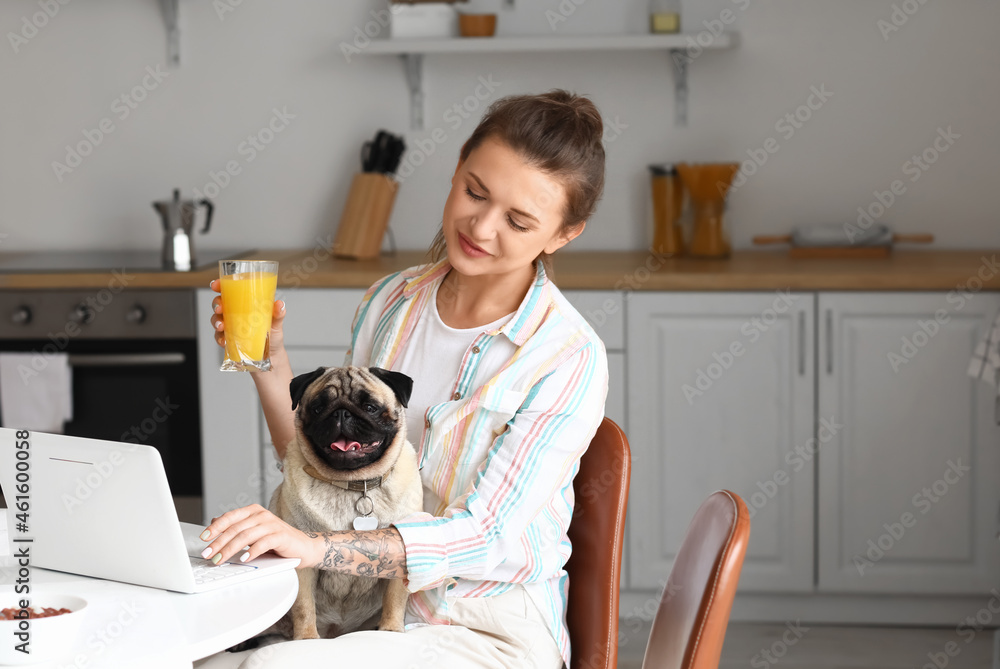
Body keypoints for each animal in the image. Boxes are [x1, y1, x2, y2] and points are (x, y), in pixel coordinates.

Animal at [270, 366, 422, 640]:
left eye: (370, 407)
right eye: (318, 408)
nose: (341, 413)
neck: (353, 484)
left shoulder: (401, 559)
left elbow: (394, 601)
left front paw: (391, 630)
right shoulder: (303, 565)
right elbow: (303, 607)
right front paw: (306, 638)